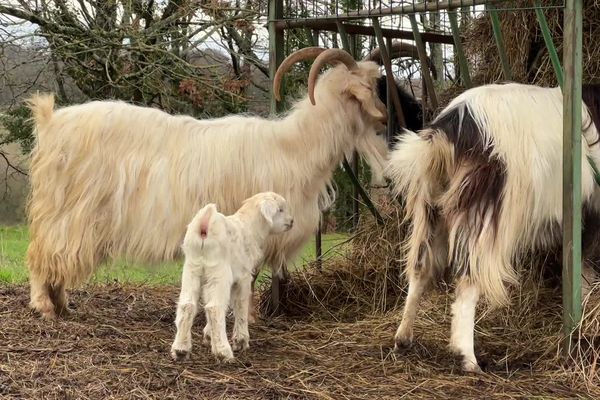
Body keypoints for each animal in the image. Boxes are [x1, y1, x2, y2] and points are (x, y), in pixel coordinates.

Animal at [24, 47, 390, 320]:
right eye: (372, 87)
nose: (387, 117)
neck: (295, 146)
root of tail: (50, 121)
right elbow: (248, 277)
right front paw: (245, 316)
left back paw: (62, 305)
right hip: (67, 211)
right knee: (43, 252)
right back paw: (46, 306)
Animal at [384, 83, 600, 374]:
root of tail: (446, 132)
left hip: (431, 210)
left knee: (420, 268)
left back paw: (403, 338)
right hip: (481, 211)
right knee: (468, 280)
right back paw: (467, 358)